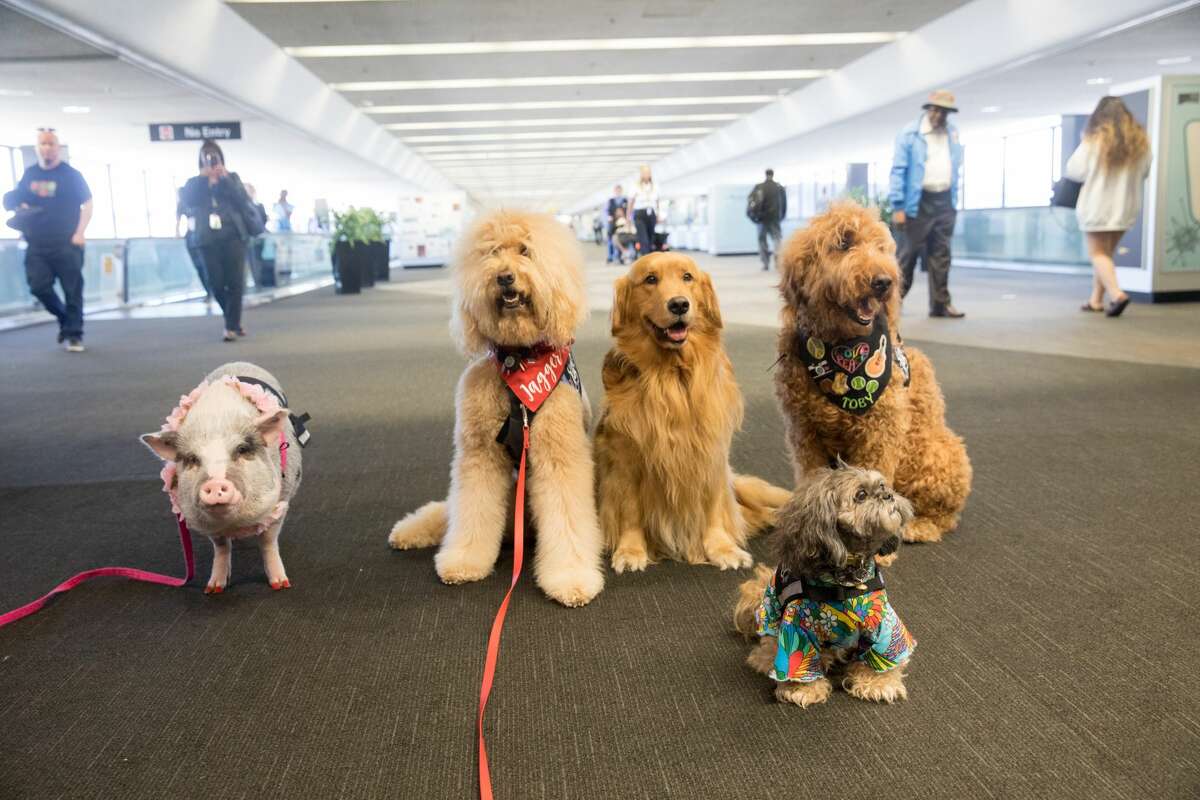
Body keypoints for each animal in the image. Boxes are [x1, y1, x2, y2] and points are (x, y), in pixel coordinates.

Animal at [140, 364, 304, 594]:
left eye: (242, 449)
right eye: (192, 459)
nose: (215, 483)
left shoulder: (281, 502)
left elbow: (268, 542)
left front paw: (281, 585)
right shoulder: (207, 525)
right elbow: (221, 547)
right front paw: (213, 589)